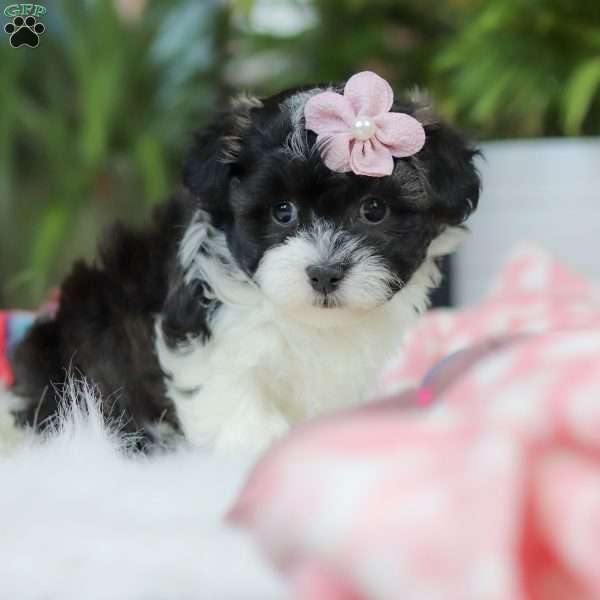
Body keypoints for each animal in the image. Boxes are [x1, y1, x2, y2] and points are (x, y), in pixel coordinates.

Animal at [8, 72, 478, 450]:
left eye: (374, 209)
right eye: (282, 211)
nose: (325, 273)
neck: (306, 321)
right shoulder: (200, 330)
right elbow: (227, 386)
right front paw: (256, 441)